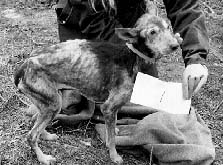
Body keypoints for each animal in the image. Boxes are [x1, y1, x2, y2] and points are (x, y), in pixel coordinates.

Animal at [13, 4, 181, 164]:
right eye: (152, 32)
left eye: (168, 27)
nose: (175, 45)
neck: (133, 56)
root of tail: (26, 63)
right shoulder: (108, 107)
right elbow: (111, 139)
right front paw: (114, 156)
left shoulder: (113, 108)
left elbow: (113, 126)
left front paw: (114, 130)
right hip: (53, 104)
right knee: (31, 135)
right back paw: (43, 158)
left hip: (48, 102)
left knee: (34, 119)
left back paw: (47, 136)